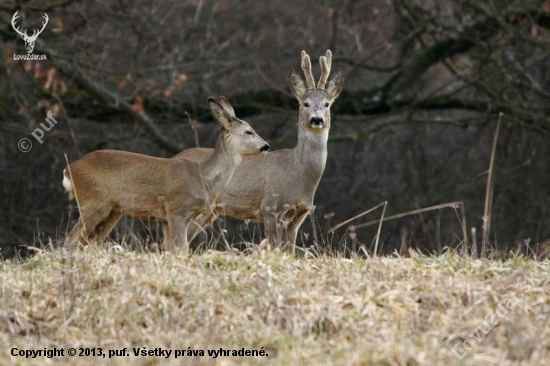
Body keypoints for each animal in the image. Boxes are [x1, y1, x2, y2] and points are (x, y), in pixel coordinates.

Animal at [63, 96, 270, 253]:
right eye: (249, 132)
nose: (266, 145)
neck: (202, 177)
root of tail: (68, 170)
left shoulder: (164, 218)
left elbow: (170, 249)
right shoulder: (176, 209)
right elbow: (181, 249)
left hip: (113, 210)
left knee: (88, 242)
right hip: (94, 202)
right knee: (71, 239)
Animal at [176, 50, 344, 253]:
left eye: (327, 104)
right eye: (305, 103)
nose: (316, 119)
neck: (297, 170)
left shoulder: (299, 214)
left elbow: (289, 250)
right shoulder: (271, 208)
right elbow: (273, 247)